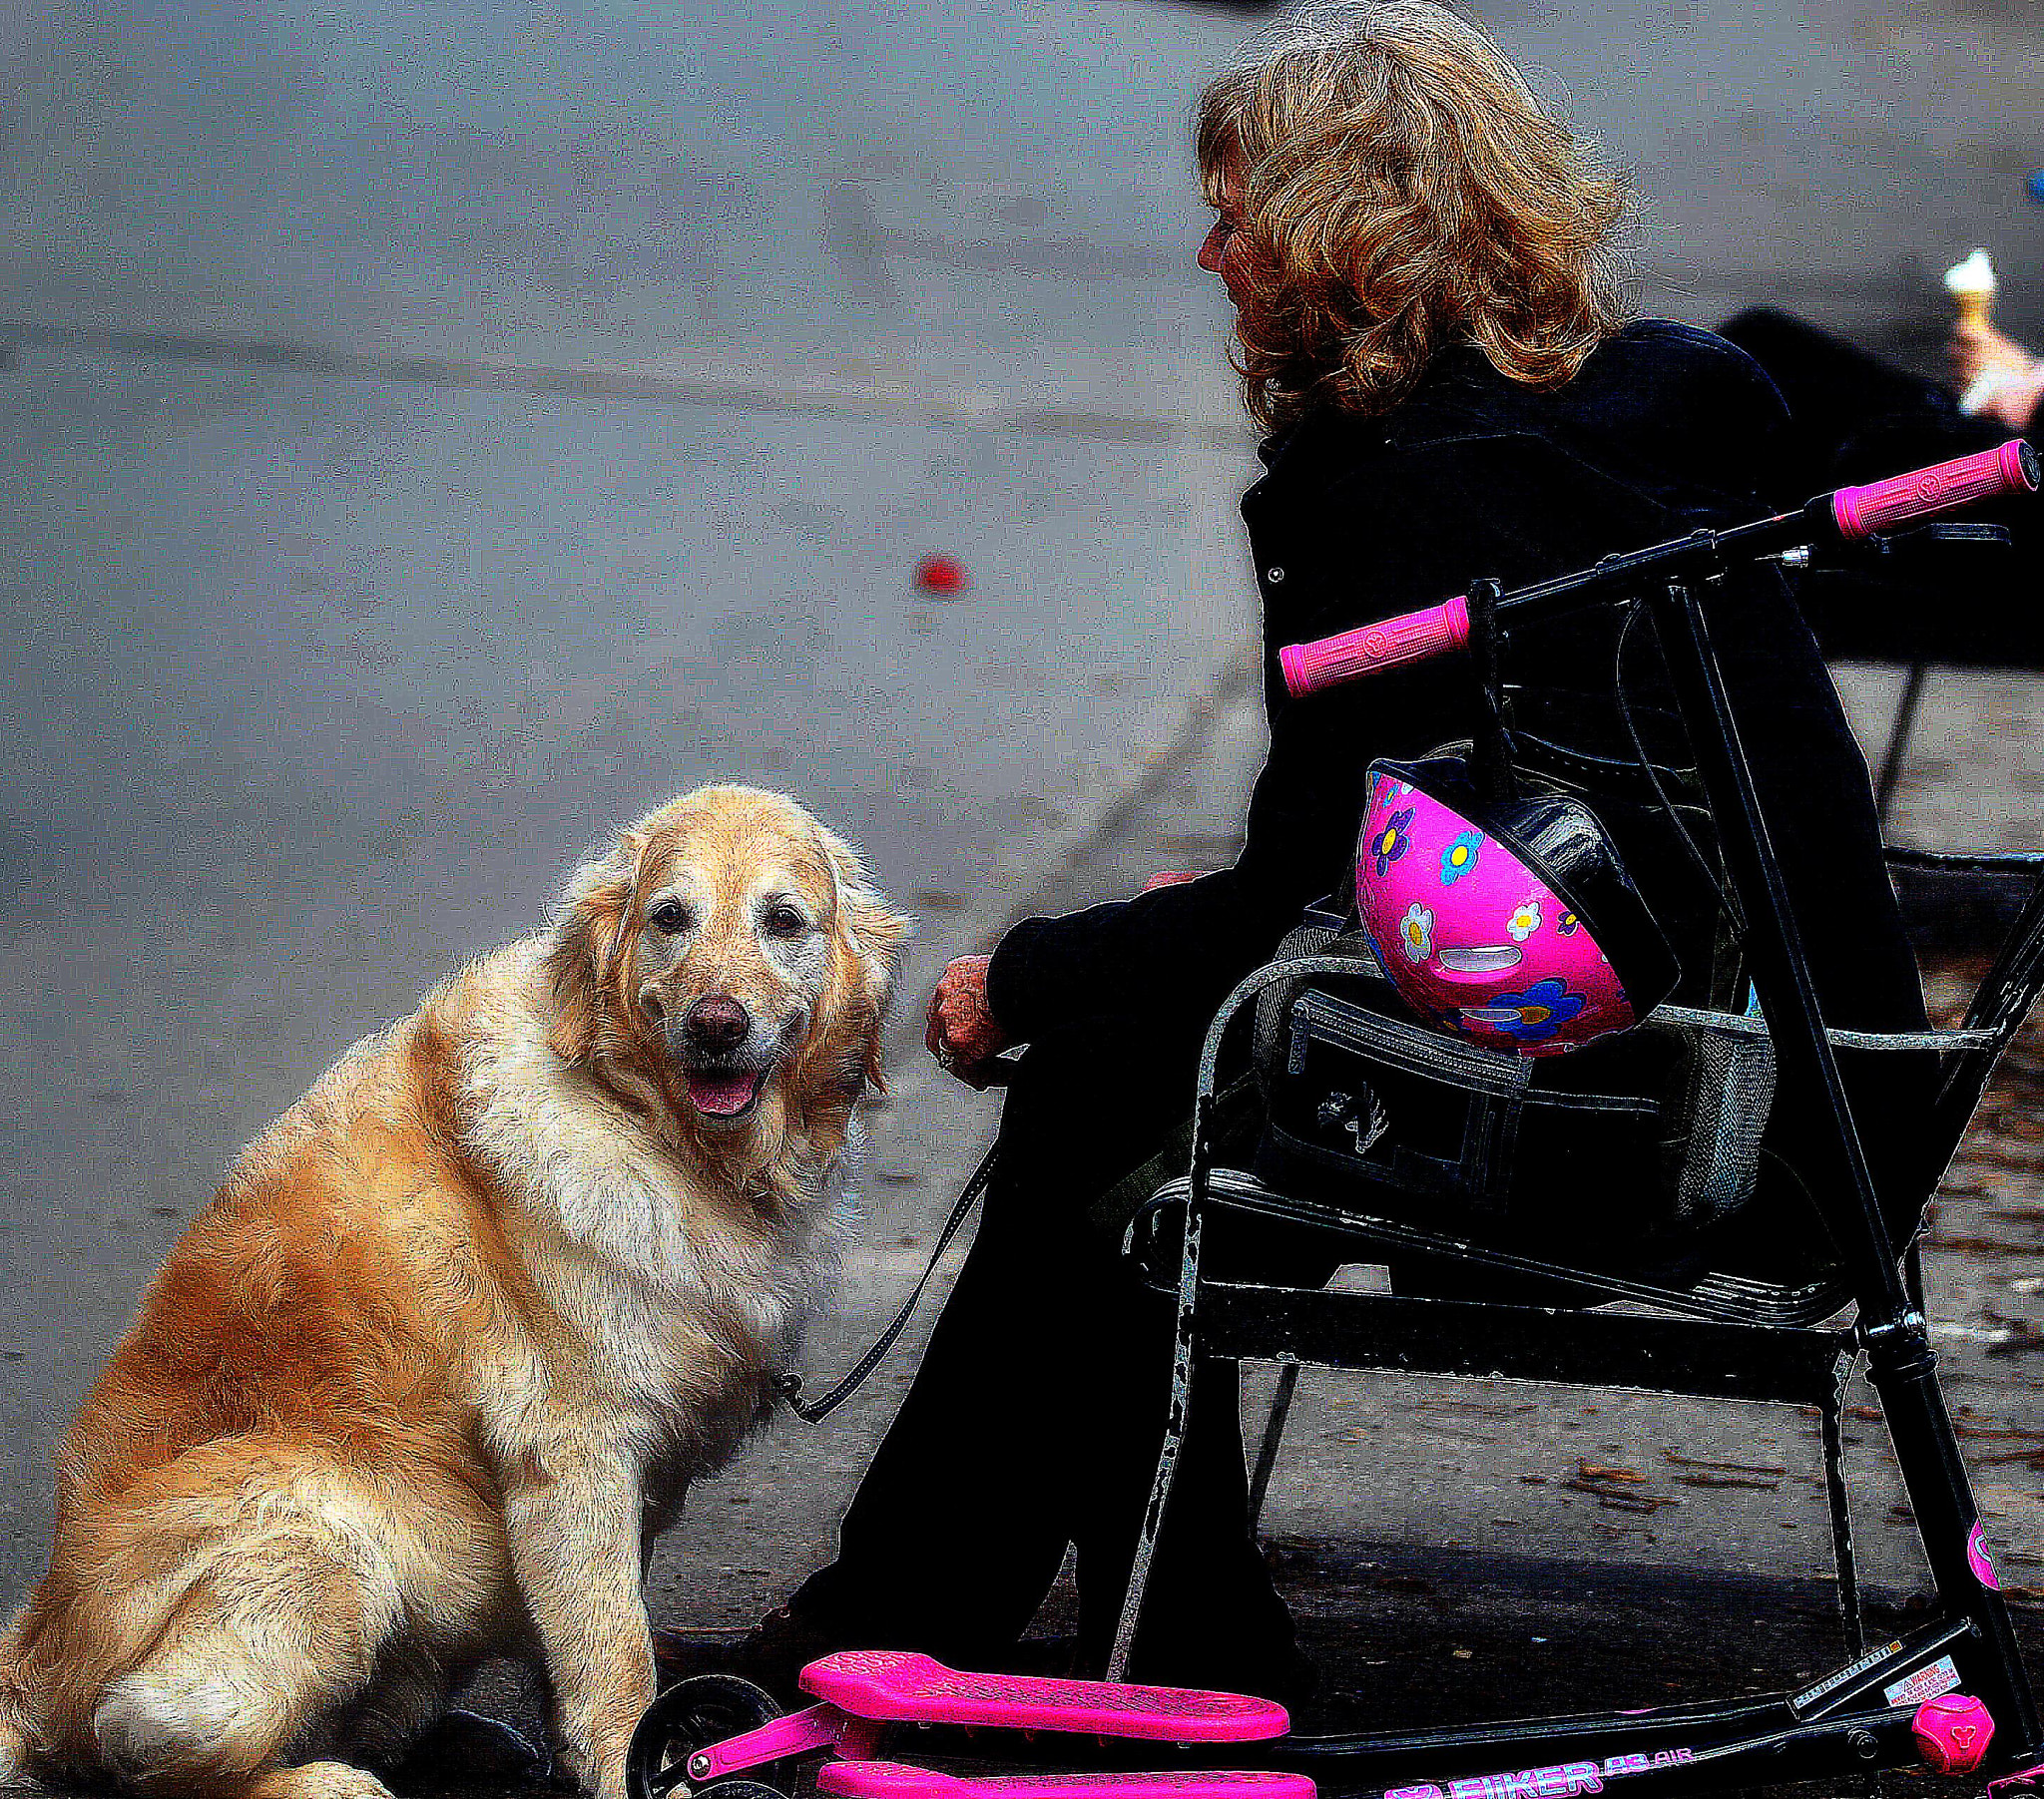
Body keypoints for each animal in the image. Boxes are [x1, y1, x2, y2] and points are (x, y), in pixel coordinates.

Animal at [0, 784, 903, 1799]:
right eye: (670, 917)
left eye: (783, 921)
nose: (717, 1023)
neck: (655, 1129)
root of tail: (33, 1661)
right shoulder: (573, 1449)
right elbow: (614, 1646)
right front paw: (643, 1757)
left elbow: (585, 1632)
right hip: (322, 1534)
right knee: (149, 1745)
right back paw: (328, 1779)